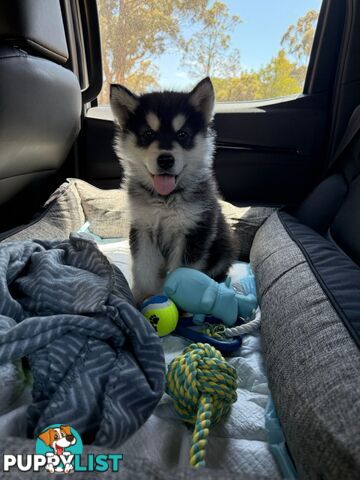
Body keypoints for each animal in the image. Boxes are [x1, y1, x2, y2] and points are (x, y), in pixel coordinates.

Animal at [111, 78, 238, 304]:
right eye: (148, 133)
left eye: (182, 134)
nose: (165, 160)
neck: (165, 200)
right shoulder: (143, 228)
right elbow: (143, 268)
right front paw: (141, 297)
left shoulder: (193, 231)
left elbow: (182, 272)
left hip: (223, 246)